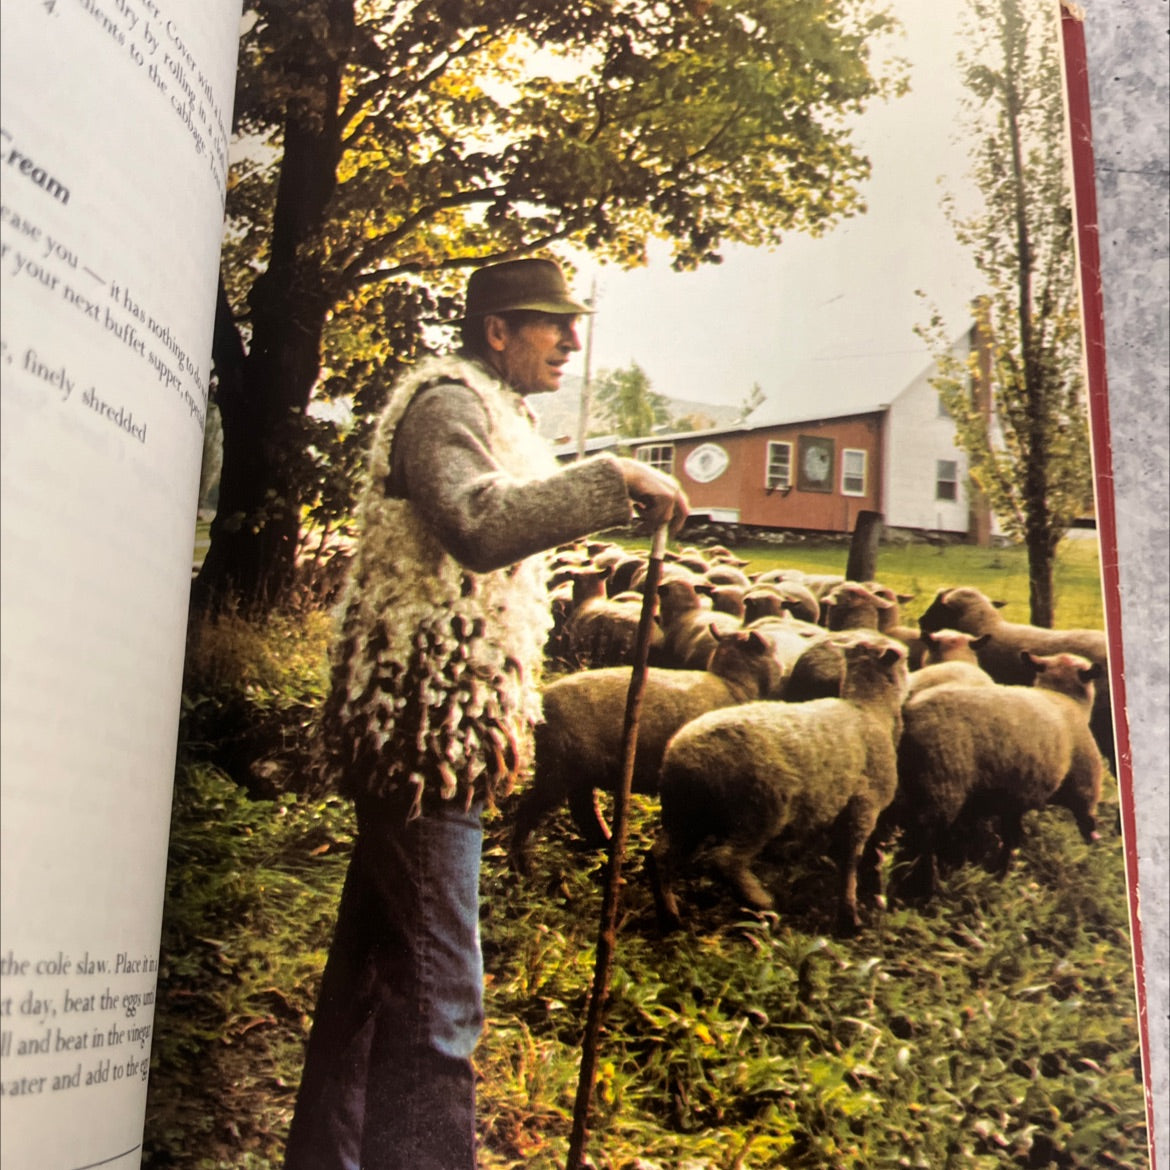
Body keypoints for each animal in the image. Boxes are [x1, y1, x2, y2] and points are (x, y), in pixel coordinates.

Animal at [512, 631, 786, 870]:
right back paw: (523, 864)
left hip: (579, 771)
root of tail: (539, 705)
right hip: (558, 767)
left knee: (584, 810)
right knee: (528, 809)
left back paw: (607, 844)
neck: (733, 685)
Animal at [650, 631, 912, 931]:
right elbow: (850, 859)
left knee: (658, 856)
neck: (869, 708)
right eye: (905, 662)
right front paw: (849, 917)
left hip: (687, 814)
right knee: (724, 860)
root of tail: (683, 755)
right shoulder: (863, 806)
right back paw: (760, 903)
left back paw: (669, 915)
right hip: (759, 808)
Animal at [893, 650, 1104, 893]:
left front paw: (1001, 875)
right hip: (940, 787)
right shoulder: (1084, 787)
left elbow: (1012, 838)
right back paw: (931, 886)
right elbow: (1088, 827)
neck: (1064, 697)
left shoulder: (1015, 796)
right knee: (924, 840)